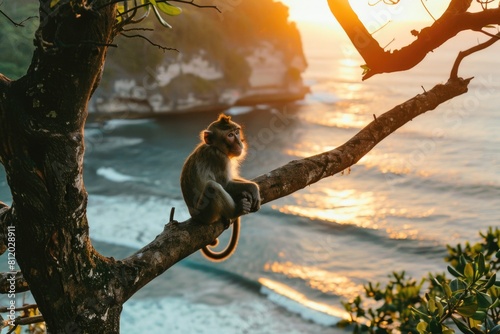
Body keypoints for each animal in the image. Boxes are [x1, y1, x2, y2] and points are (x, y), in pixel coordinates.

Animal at [180, 113, 260, 262]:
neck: (215, 147)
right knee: (212, 187)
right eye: (230, 135)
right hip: (205, 213)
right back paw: (236, 210)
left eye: (236, 132)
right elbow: (225, 184)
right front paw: (253, 188)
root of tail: (194, 216)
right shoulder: (220, 158)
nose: (240, 142)